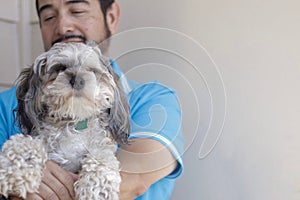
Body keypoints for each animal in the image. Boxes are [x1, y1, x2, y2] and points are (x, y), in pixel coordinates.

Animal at [0, 41, 130, 198]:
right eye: (60, 68)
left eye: (91, 70)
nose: (78, 80)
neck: (73, 122)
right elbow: (24, 143)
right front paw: (14, 171)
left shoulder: (101, 149)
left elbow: (101, 157)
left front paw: (95, 192)